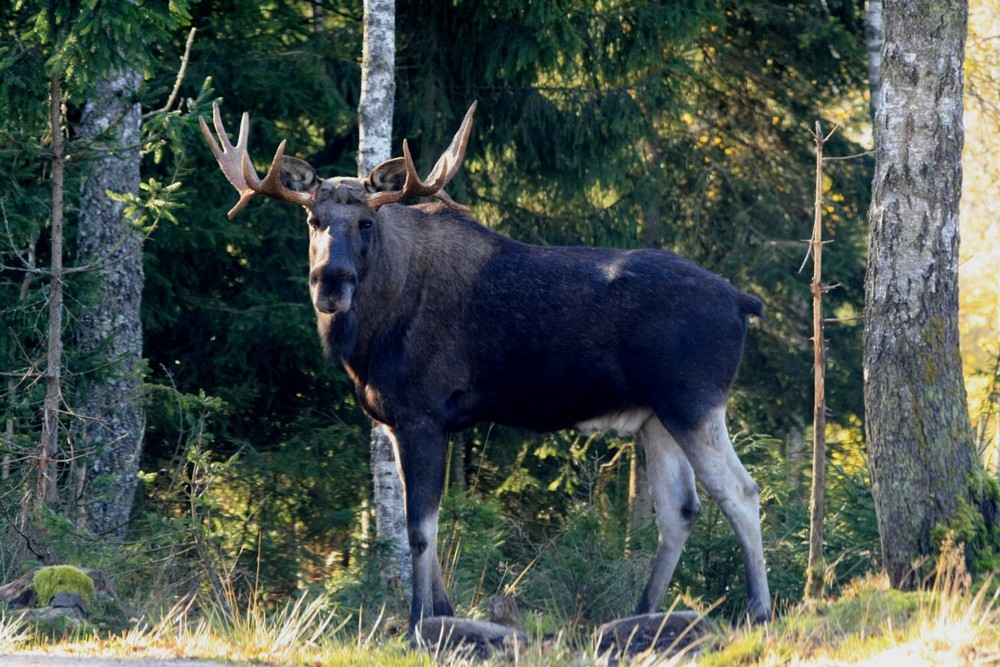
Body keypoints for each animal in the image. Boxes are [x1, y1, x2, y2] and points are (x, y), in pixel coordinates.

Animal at [199, 102, 768, 628]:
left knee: (740, 491)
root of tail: (744, 303)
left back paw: (758, 612)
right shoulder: (407, 422)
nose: (330, 282)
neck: (369, 340)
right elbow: (425, 521)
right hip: (655, 416)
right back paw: (643, 614)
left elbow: (418, 529)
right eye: (313, 220)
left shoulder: (422, 414)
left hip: (692, 399)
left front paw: (417, 622)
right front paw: (443, 611)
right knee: (680, 510)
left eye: (366, 222)